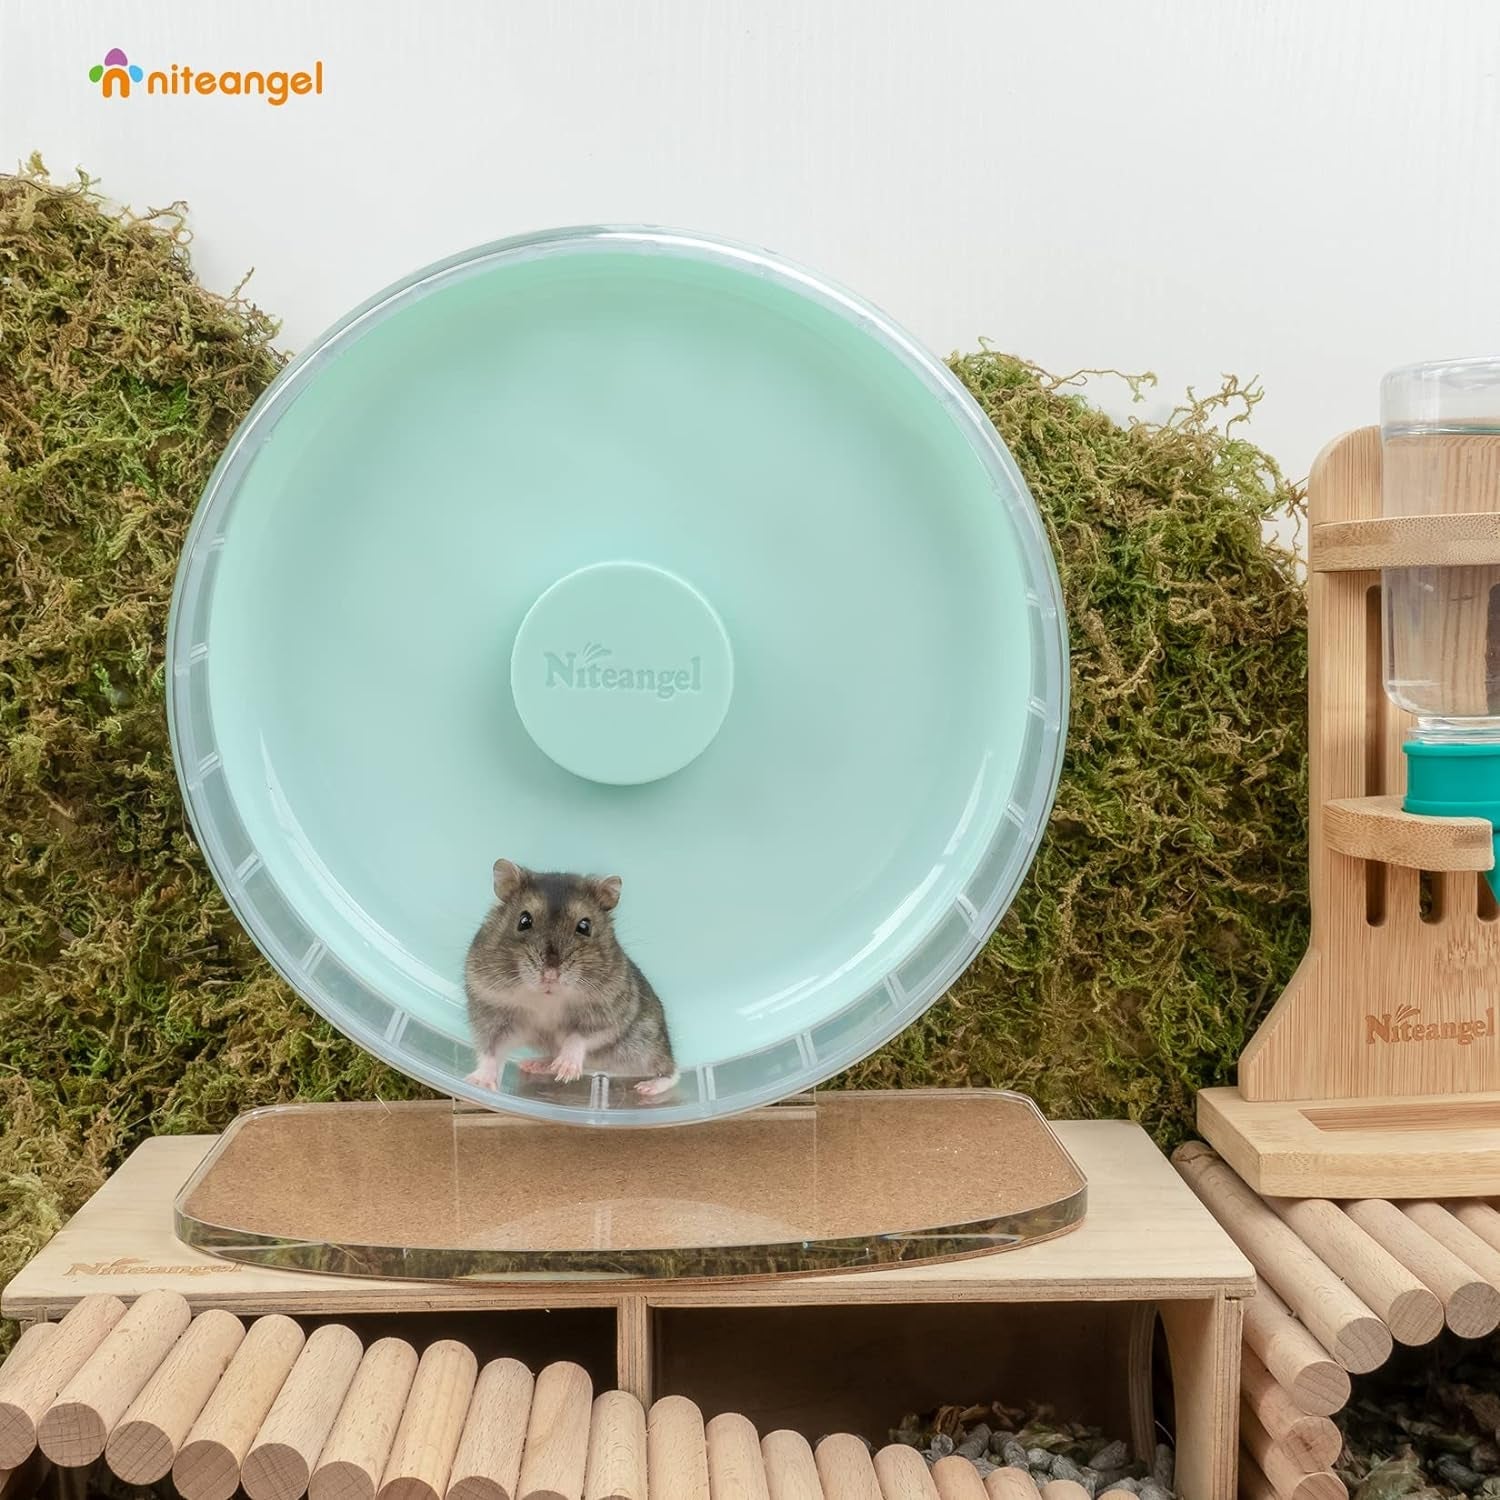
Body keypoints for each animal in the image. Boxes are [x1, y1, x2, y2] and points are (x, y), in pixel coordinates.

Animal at [464, 859, 678, 1099]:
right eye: (524, 920)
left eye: (585, 926)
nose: (550, 975)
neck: (547, 1000)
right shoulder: (492, 1013)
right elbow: (490, 1051)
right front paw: (477, 1082)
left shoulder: (607, 1017)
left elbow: (578, 1038)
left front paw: (566, 1072)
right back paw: (535, 1065)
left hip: (644, 1045)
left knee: (671, 1071)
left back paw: (647, 1088)